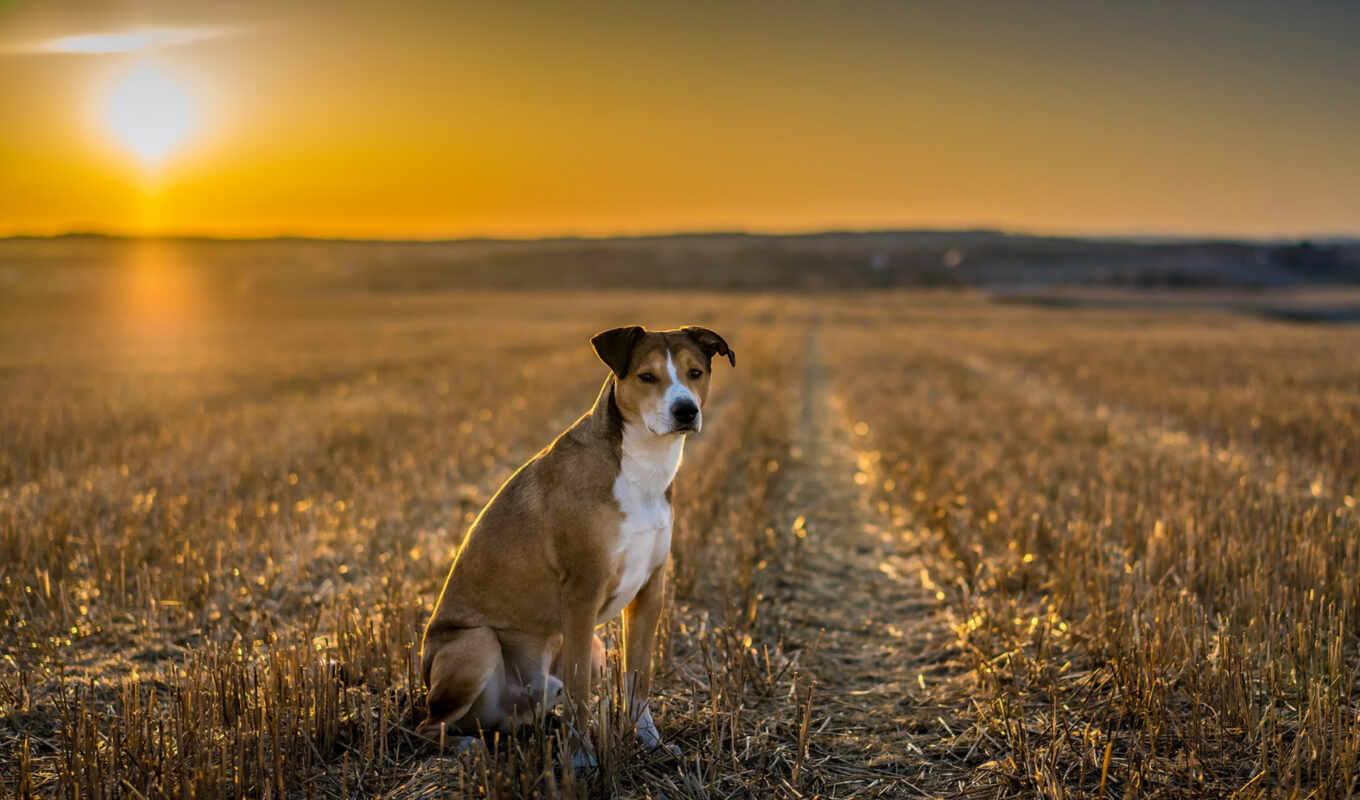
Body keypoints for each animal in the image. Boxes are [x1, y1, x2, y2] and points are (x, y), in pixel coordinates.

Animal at [416, 322, 734, 761]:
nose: (685, 410)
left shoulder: (650, 591)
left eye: (695, 372)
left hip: (588, 653)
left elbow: (638, 679)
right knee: (428, 726)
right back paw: (468, 745)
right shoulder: (583, 594)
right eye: (647, 376)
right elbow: (582, 691)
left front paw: (649, 742)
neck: (639, 467)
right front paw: (582, 757)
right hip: (476, 645)